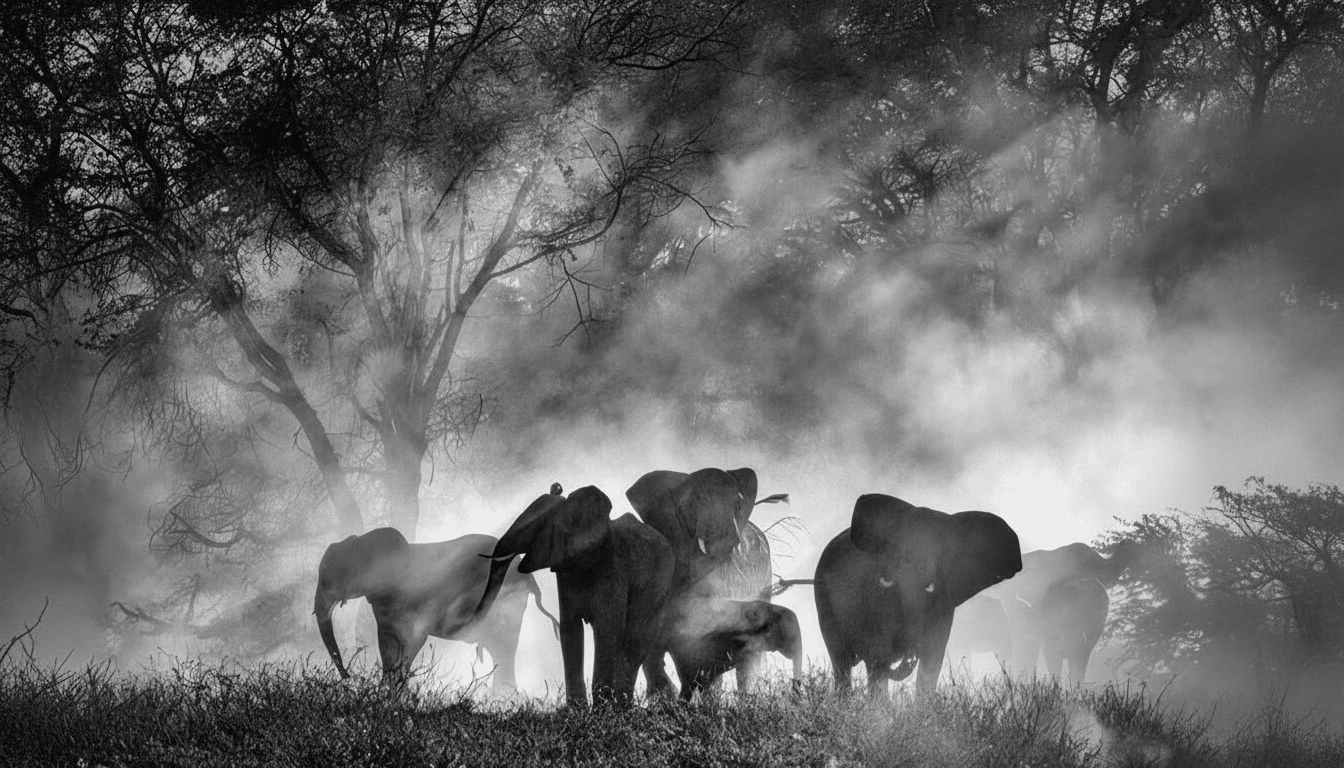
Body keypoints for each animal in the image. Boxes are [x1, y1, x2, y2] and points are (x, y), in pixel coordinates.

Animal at [314, 527, 558, 690]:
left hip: (505, 605)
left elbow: (411, 641)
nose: (349, 678)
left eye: (335, 576)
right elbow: (389, 644)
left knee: (503, 648)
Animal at [474, 485, 675, 707]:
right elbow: (570, 629)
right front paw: (576, 709)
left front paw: (602, 709)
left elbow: (607, 629)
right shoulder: (565, 569)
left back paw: (624, 706)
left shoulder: (613, 567)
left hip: (660, 584)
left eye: (538, 527)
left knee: (636, 640)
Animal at [662, 598, 804, 700]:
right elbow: (744, 672)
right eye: (791, 638)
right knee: (691, 682)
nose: (795, 690)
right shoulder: (743, 642)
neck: (769, 609)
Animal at [814, 493, 1022, 697]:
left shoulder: (943, 604)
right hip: (824, 600)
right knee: (841, 662)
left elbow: (932, 661)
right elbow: (877, 656)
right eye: (898, 548)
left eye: (943, 553)